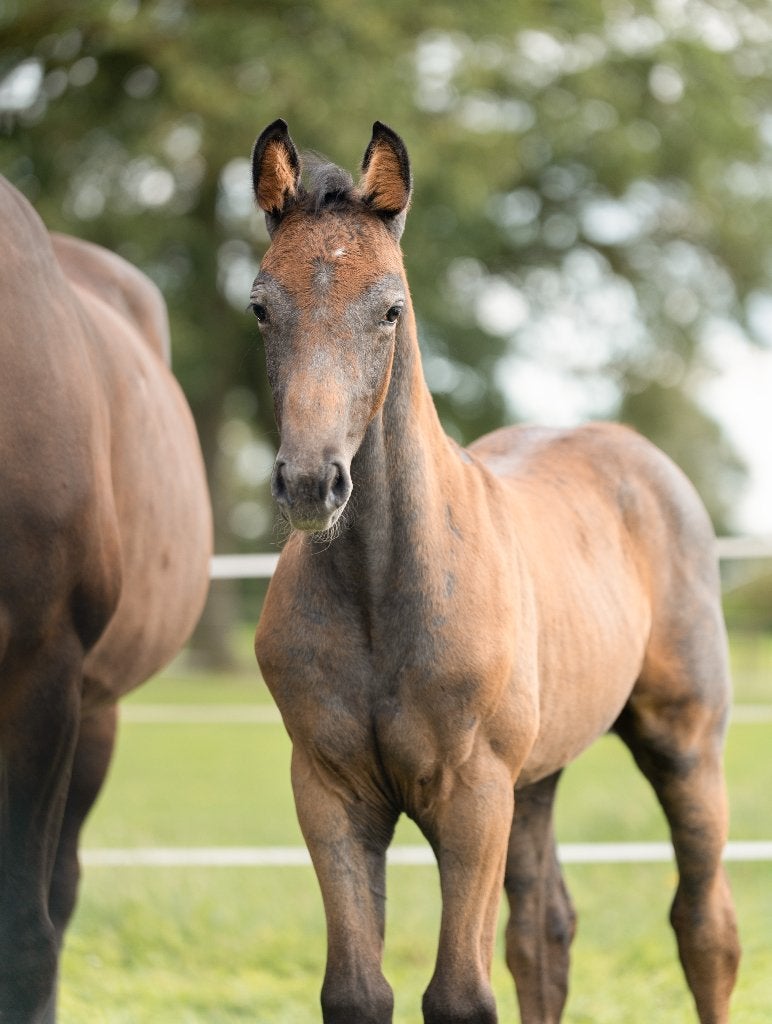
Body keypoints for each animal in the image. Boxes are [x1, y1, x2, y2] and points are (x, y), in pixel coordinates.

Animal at [250, 120, 740, 1024]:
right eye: (261, 306)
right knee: (544, 930)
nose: (309, 484)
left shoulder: (474, 793)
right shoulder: (330, 790)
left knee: (705, 926)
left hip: (684, 744)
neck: (383, 592)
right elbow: (357, 992)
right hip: (538, 776)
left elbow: (459, 996)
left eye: (391, 309)